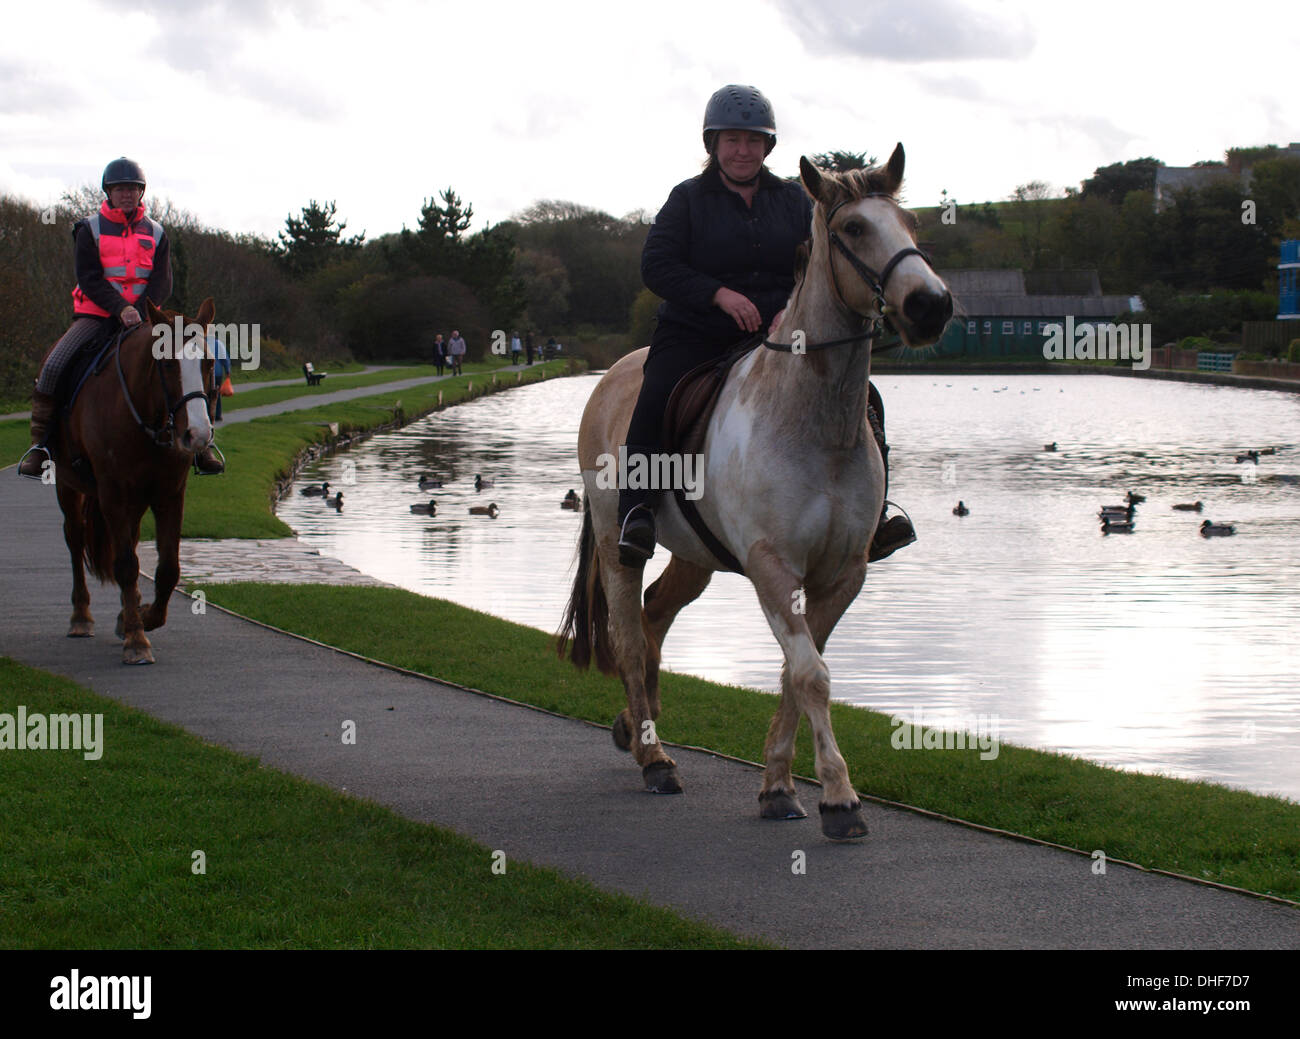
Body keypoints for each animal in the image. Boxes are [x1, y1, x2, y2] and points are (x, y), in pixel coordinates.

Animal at [49, 297, 217, 664]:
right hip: (69, 486)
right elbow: (125, 564)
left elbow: (168, 569)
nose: (197, 434)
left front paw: (142, 617)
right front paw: (137, 639)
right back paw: (81, 616)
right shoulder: (112, 494)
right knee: (75, 538)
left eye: (210, 362)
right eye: (166, 363)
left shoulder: (170, 494)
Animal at [558, 146, 952, 841]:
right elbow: (812, 675)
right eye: (854, 229)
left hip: (695, 557)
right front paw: (839, 799)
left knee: (655, 617)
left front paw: (778, 787)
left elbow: (797, 673)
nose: (930, 305)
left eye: (907, 221)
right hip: (615, 543)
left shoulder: (841, 575)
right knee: (630, 634)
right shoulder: (774, 567)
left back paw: (635, 730)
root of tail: (612, 374)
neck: (814, 418)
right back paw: (655, 760)